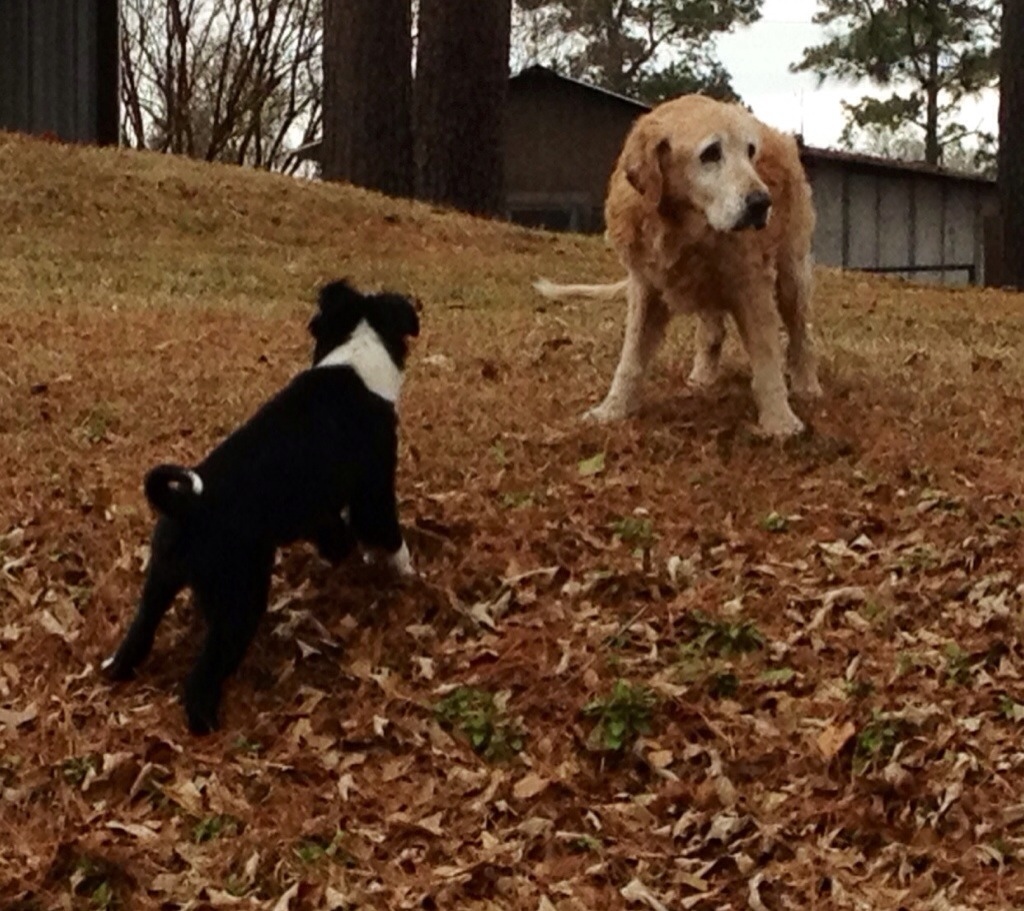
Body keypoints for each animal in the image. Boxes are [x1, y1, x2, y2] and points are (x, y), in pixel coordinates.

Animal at [103, 280, 420, 734]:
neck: (356, 355)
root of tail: (188, 504)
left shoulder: (320, 510)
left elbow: (338, 533)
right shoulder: (373, 491)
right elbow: (390, 537)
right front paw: (409, 577)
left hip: (159, 583)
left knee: (136, 640)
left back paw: (116, 670)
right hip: (240, 601)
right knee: (202, 677)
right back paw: (206, 724)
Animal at [536, 94, 821, 438]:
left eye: (751, 151)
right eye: (711, 153)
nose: (761, 203)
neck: (683, 227)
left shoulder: (751, 283)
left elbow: (766, 357)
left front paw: (780, 423)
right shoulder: (646, 286)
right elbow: (631, 359)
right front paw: (612, 410)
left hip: (791, 273)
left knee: (800, 335)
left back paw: (807, 385)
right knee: (712, 331)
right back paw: (703, 375)